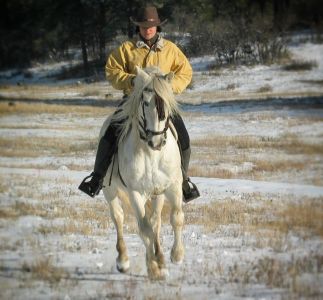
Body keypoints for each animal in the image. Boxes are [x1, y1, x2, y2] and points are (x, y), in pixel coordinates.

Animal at [101, 67, 186, 280]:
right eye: (145, 102)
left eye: (167, 104)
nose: (156, 141)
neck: (151, 154)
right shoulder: (135, 193)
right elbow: (144, 229)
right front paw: (154, 267)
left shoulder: (171, 186)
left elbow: (175, 218)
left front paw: (175, 256)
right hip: (110, 191)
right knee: (119, 218)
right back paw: (124, 261)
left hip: (156, 195)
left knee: (155, 222)